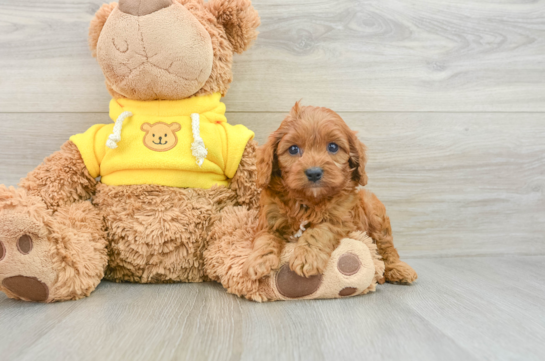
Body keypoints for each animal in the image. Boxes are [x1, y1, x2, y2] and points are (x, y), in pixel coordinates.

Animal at [244, 102, 418, 284]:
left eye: (333, 147)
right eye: (293, 149)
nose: (314, 173)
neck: (308, 200)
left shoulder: (340, 219)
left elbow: (319, 231)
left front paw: (307, 257)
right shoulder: (269, 219)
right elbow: (264, 238)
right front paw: (258, 261)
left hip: (373, 208)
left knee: (386, 246)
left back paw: (399, 269)